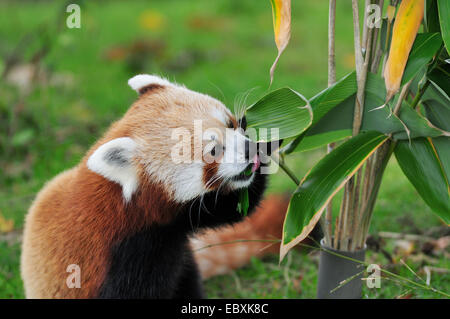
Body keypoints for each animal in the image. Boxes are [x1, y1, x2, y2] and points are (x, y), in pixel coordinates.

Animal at [22, 75, 282, 300]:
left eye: (231, 123)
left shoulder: (176, 223)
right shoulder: (125, 256)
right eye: (214, 151)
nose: (249, 150)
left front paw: (272, 135)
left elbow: (231, 208)